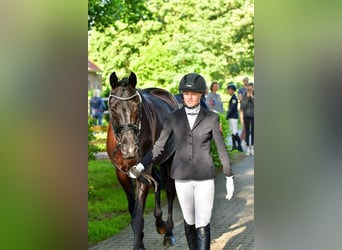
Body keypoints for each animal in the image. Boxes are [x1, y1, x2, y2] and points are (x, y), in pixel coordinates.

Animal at [105, 71, 178, 249]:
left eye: (137, 106)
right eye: (112, 107)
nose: (129, 148)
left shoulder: (142, 170)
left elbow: (138, 215)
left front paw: (139, 243)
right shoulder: (122, 173)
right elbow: (133, 209)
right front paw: (142, 236)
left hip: (169, 159)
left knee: (170, 190)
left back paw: (168, 232)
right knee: (158, 182)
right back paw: (160, 223)